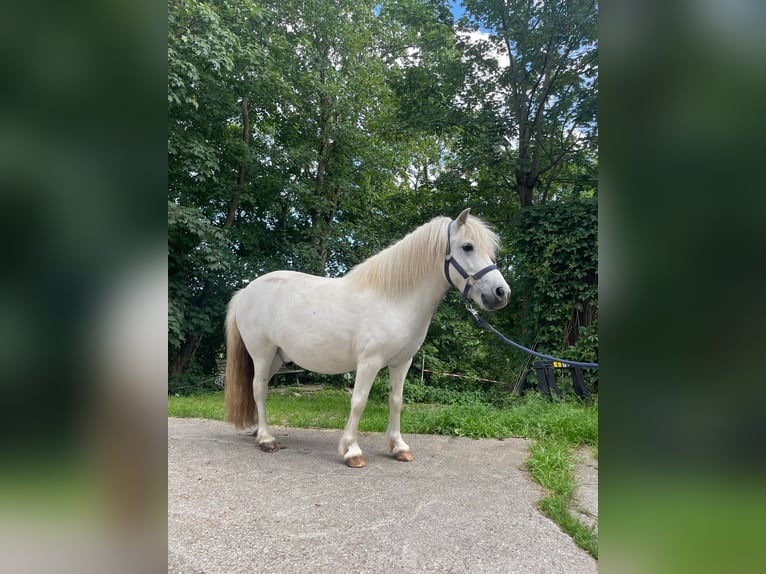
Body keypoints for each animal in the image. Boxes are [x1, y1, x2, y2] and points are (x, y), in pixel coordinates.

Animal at [224, 209, 510, 470]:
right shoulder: (369, 363)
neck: (393, 299)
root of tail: (246, 290)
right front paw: (352, 451)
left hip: (277, 358)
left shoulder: (402, 363)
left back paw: (258, 431)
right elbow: (359, 402)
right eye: (467, 246)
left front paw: (399, 447)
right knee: (258, 389)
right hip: (262, 353)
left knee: (259, 390)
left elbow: (396, 401)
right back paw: (266, 439)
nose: (501, 293)